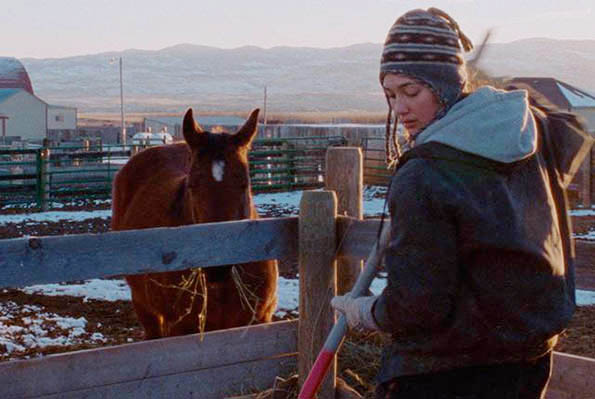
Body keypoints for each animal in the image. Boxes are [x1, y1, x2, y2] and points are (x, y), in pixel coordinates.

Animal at [112, 108, 280, 340]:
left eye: (244, 183)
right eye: (192, 185)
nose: (218, 267)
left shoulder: (259, 321)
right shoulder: (182, 329)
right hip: (143, 305)